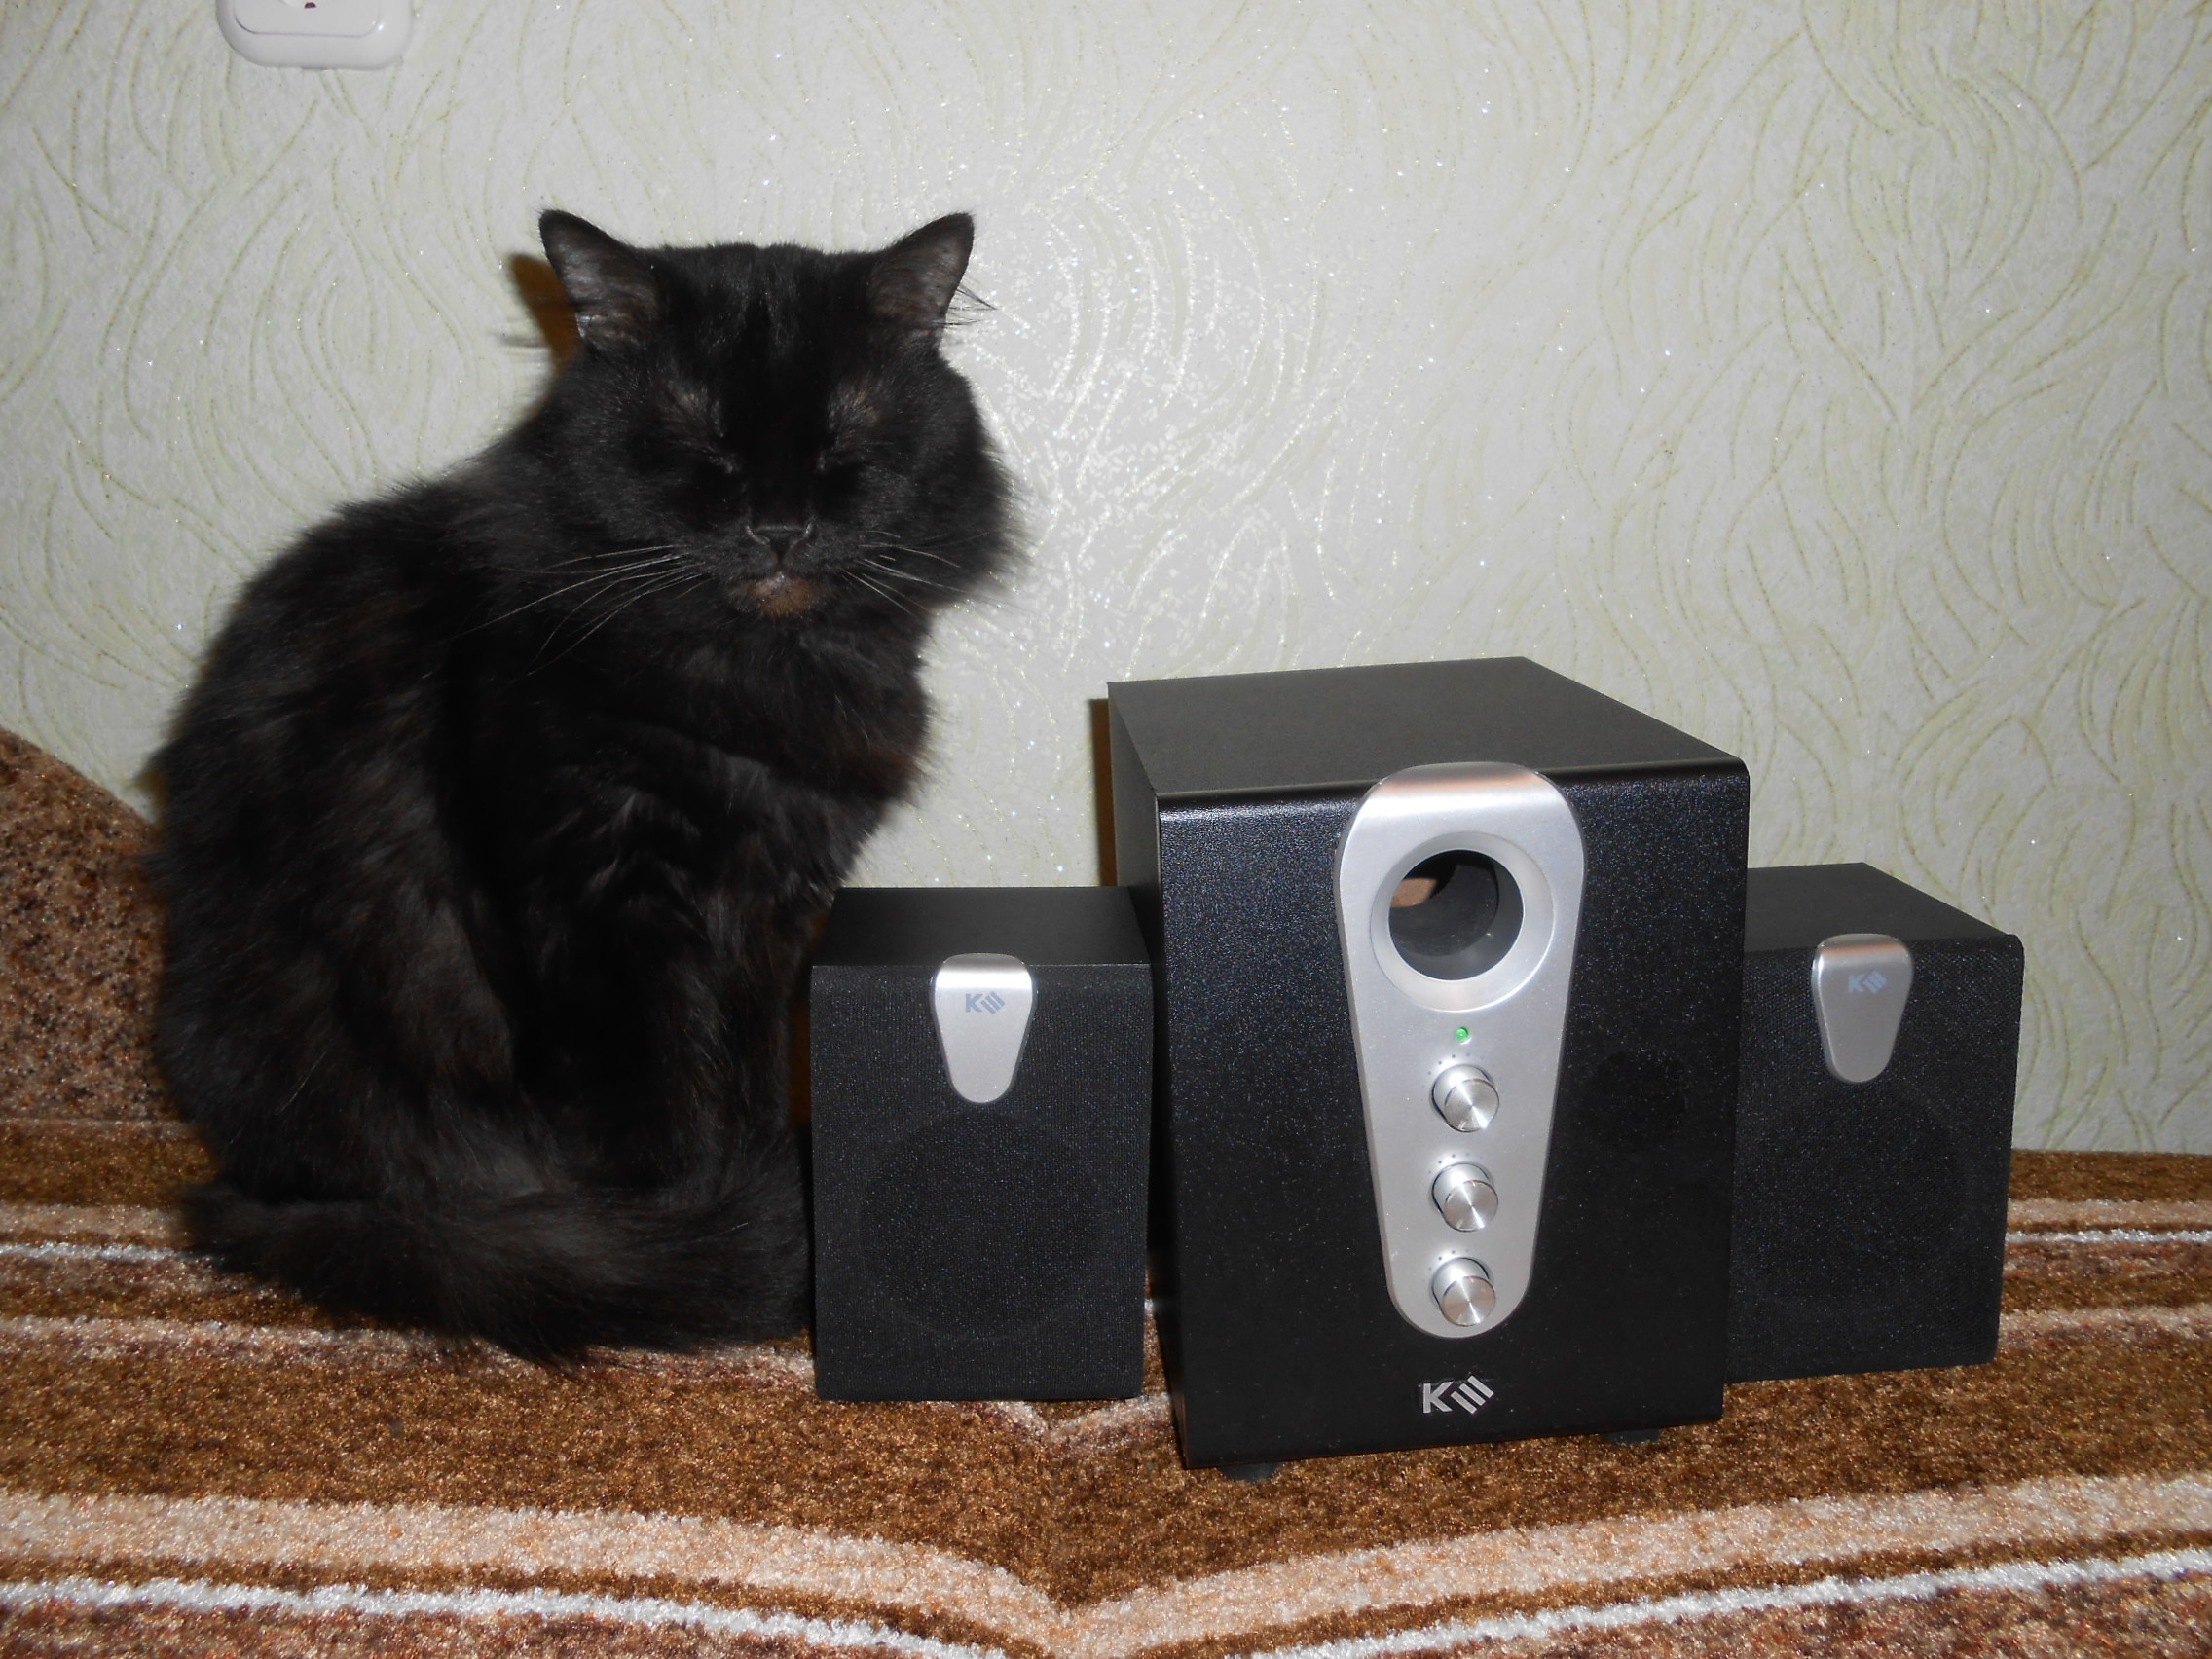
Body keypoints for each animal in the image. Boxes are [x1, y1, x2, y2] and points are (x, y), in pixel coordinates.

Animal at [149, 210, 1013, 1357]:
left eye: (841, 439)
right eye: (703, 442)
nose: (779, 528)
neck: (750, 671)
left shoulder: (771, 906)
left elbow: (739, 1080)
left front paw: (736, 1186)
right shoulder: (598, 895)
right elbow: (654, 1109)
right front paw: (694, 1238)